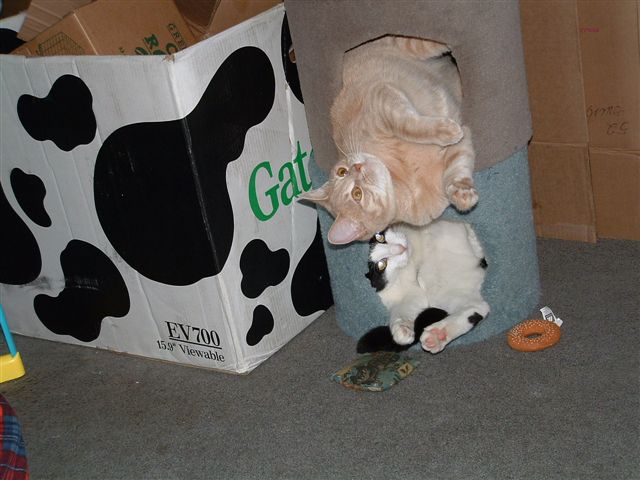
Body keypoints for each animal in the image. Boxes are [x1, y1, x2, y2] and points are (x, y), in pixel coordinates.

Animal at [299, 35, 478, 245]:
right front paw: (462, 195)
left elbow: (410, 126)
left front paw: (446, 131)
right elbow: (457, 166)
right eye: (356, 194)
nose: (357, 167)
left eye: (341, 171)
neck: (404, 177)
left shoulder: (382, 101)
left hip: (405, 44)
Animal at [358, 220, 489, 354]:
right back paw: (437, 335)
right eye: (381, 265)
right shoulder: (402, 294)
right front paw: (402, 329)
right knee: (478, 306)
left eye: (380, 237)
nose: (400, 248)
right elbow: (401, 309)